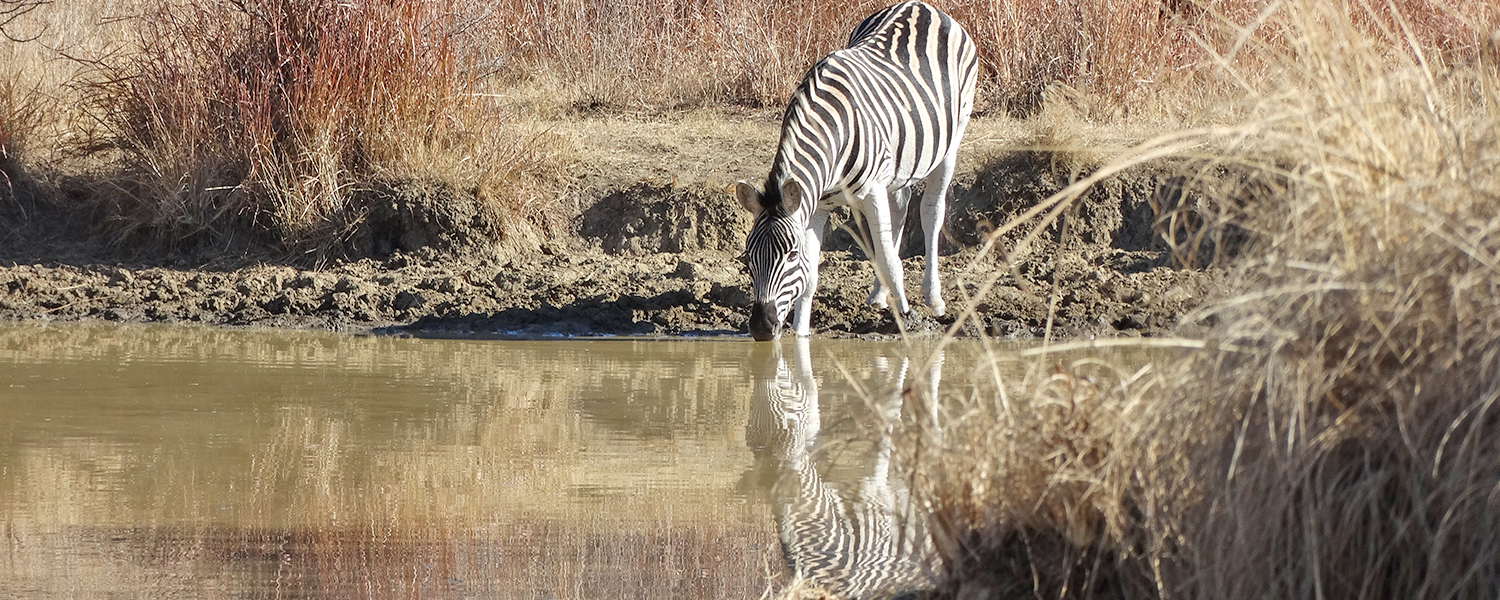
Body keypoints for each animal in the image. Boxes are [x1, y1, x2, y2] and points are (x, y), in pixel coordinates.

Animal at [735, 0, 978, 340]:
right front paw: (801, 333)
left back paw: (933, 298)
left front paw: (907, 318)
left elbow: (889, 261)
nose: (761, 327)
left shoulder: (871, 190)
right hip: (899, 164)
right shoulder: (818, 205)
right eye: (748, 256)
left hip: (951, 142)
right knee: (898, 212)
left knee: (931, 213)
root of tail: (920, 5)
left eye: (791, 255)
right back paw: (878, 296)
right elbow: (811, 275)